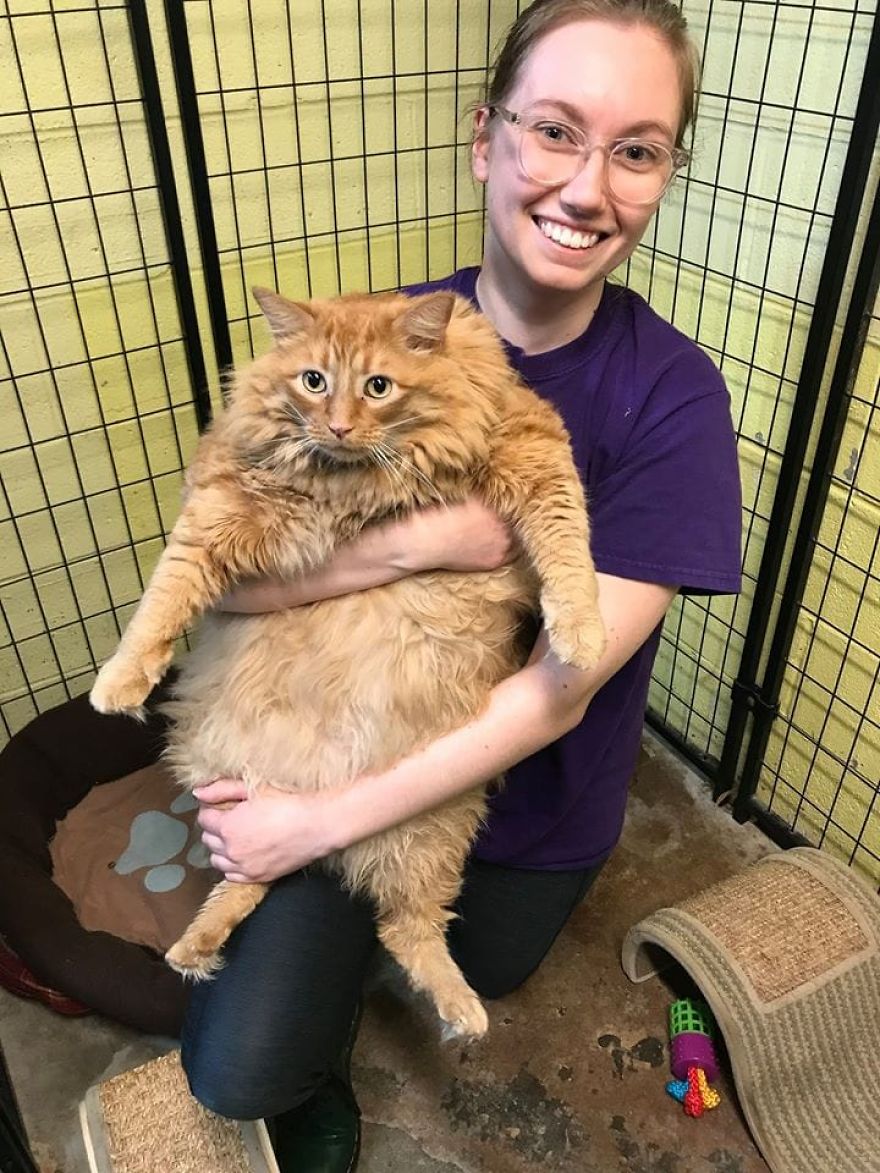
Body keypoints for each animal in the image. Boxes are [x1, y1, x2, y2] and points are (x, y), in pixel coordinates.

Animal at [89, 288, 605, 1041]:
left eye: (378, 387)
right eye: (313, 381)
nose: (335, 424)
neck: (356, 484)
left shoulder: (531, 446)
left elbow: (569, 546)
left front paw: (584, 635)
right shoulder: (221, 500)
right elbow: (166, 592)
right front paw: (122, 681)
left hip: (434, 828)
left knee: (404, 928)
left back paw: (462, 1009)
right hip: (261, 807)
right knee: (261, 882)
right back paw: (196, 947)